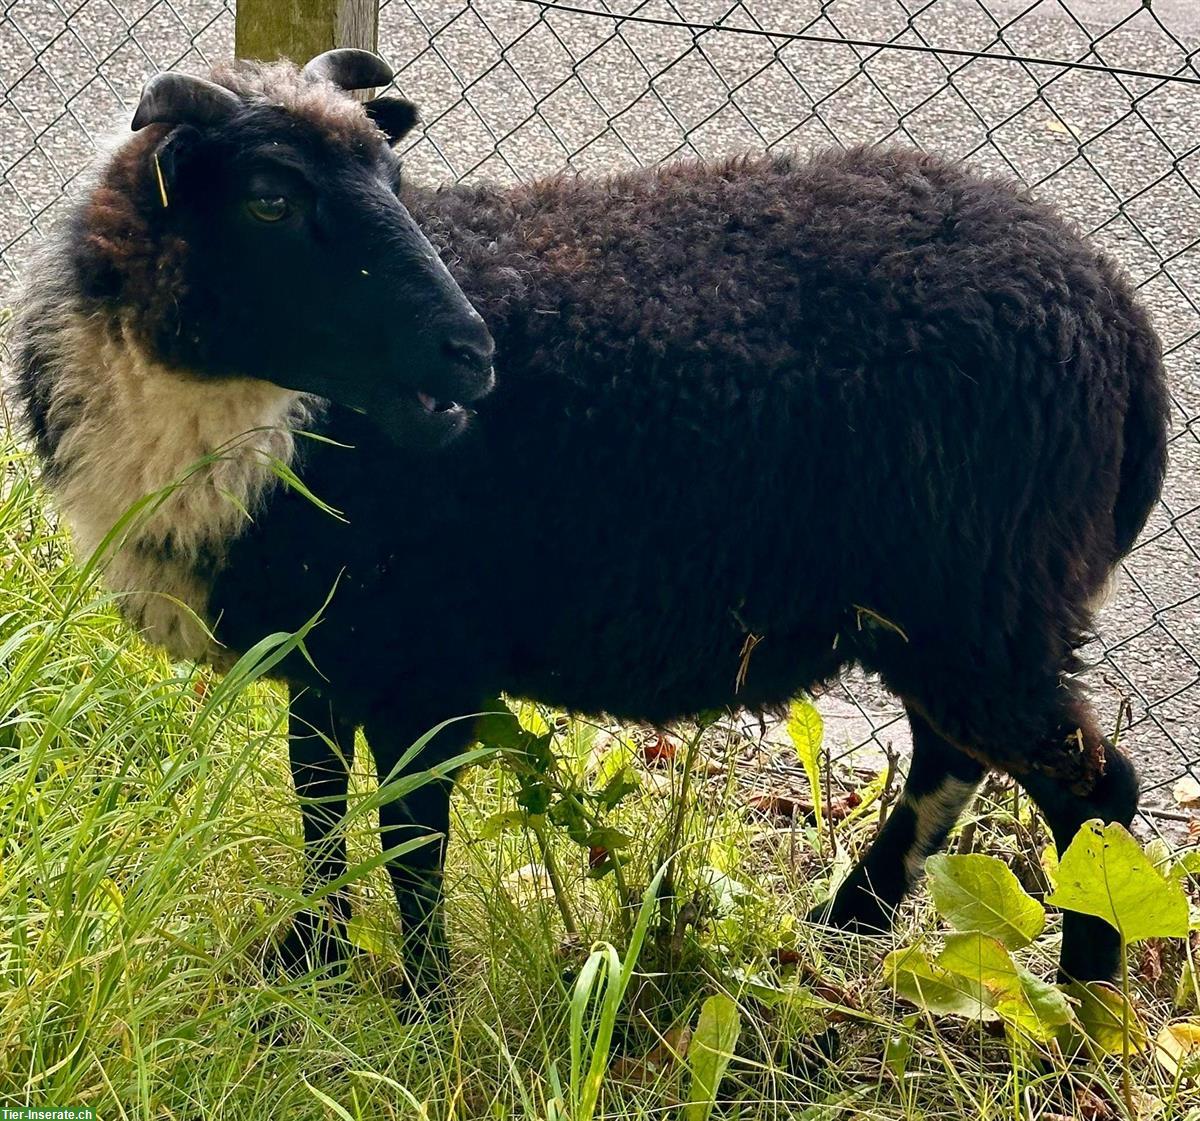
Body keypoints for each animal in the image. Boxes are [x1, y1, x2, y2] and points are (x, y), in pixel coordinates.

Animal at [7, 50, 1171, 993]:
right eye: (267, 199)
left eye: (393, 180)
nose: (472, 354)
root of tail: (1116, 312)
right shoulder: (325, 651)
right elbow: (320, 808)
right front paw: (308, 965)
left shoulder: (427, 651)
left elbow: (410, 840)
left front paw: (420, 1004)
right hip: (954, 611)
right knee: (952, 757)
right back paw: (845, 924)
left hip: (984, 598)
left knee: (1090, 785)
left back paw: (1084, 1008)